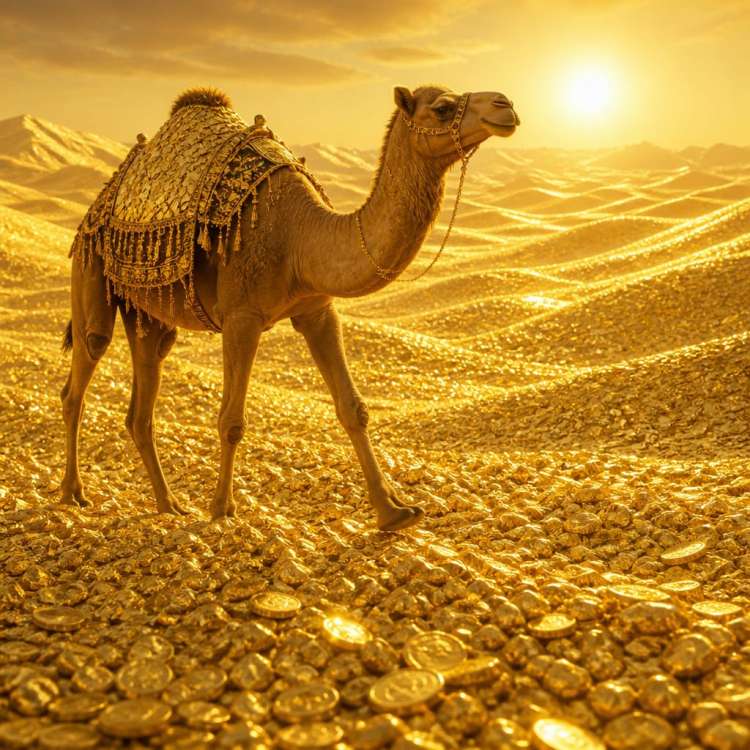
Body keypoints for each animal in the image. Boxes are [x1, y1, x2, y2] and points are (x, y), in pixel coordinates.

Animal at [60, 84, 520, 531]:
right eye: (443, 108)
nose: (506, 105)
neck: (301, 237)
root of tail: (100, 203)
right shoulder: (241, 317)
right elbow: (231, 420)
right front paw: (222, 509)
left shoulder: (317, 310)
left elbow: (353, 409)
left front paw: (394, 512)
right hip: (89, 263)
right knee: (82, 369)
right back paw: (72, 494)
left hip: (149, 316)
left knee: (142, 400)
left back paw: (168, 504)